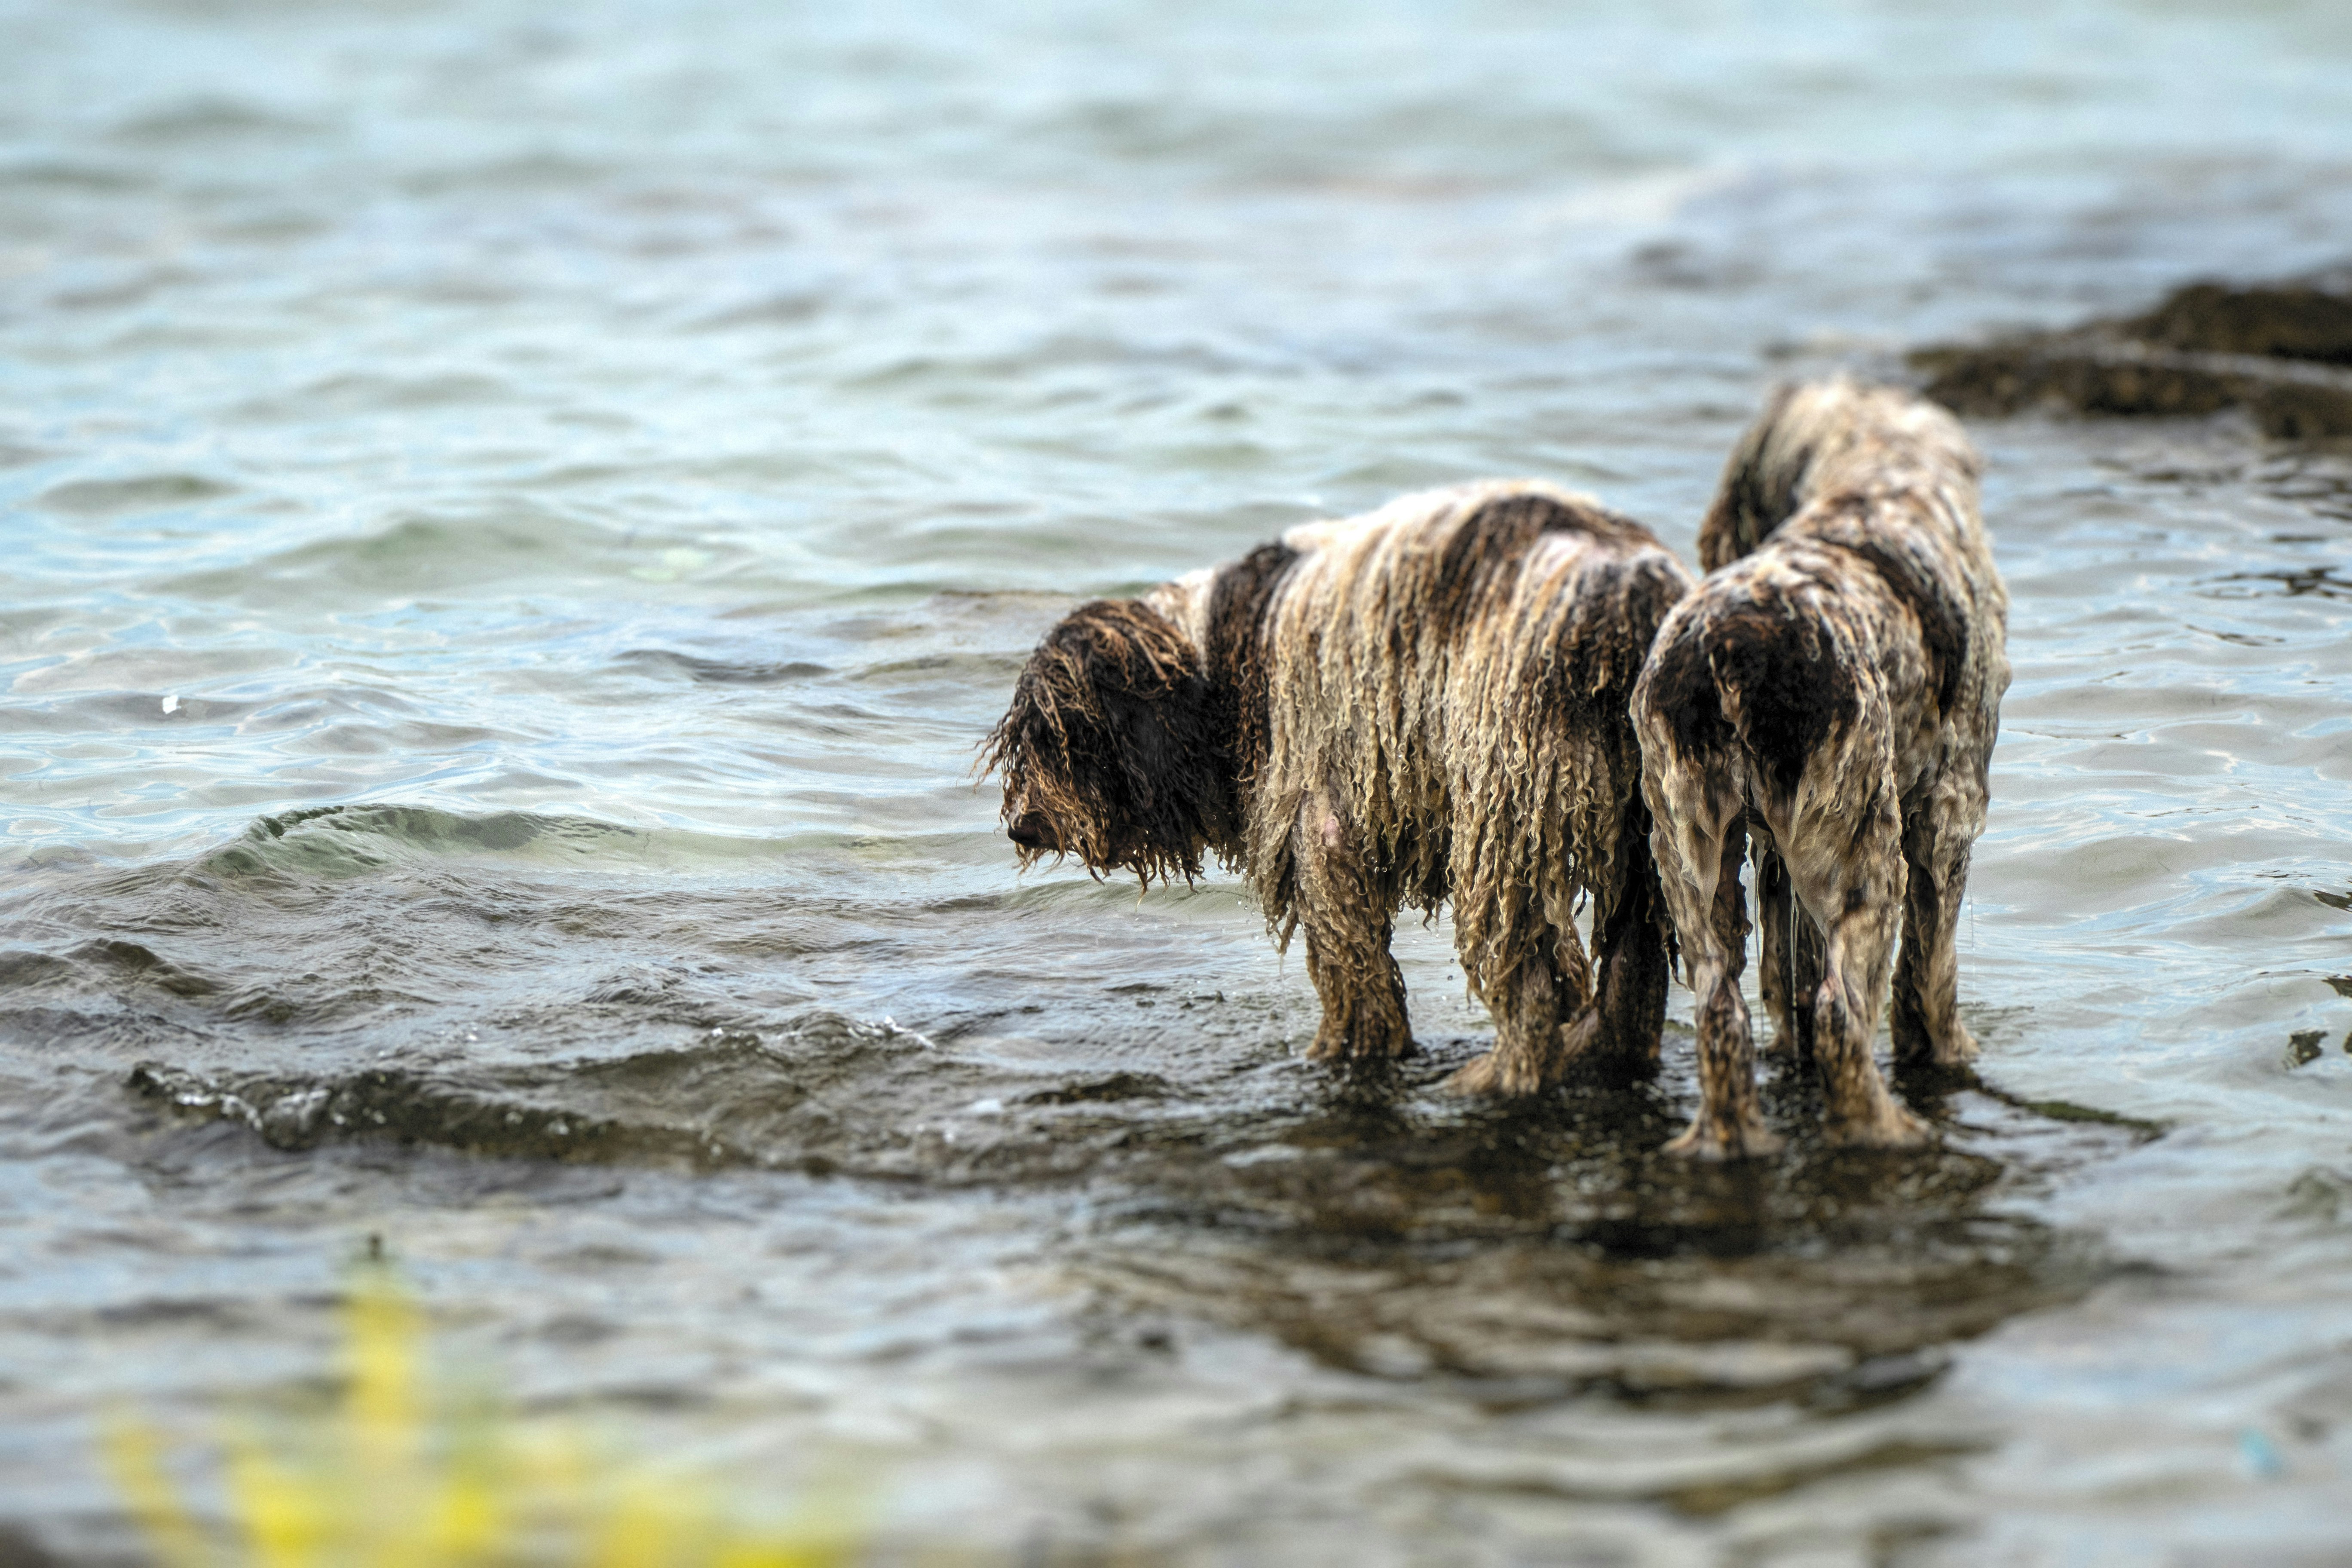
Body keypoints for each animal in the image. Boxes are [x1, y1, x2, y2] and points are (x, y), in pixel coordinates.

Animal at [988, 484, 1693, 1100]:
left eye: (1061, 736)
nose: (1021, 825)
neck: (1217, 663)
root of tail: (1624, 601)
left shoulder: (1317, 823)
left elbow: (1352, 969)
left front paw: (1348, 1053)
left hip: (1506, 815)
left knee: (1531, 985)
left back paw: (1498, 1079)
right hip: (1647, 827)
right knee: (1635, 969)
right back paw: (1603, 1052)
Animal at [1637, 381, 2004, 1161]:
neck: (1877, 473)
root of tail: (1732, 650)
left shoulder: (1772, 845)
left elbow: (1788, 974)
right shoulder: (1948, 816)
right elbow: (1930, 975)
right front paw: (1950, 1053)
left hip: (1689, 855)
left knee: (1721, 1013)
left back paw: (1734, 1140)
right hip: (1867, 853)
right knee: (1842, 1015)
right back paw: (1884, 1131)